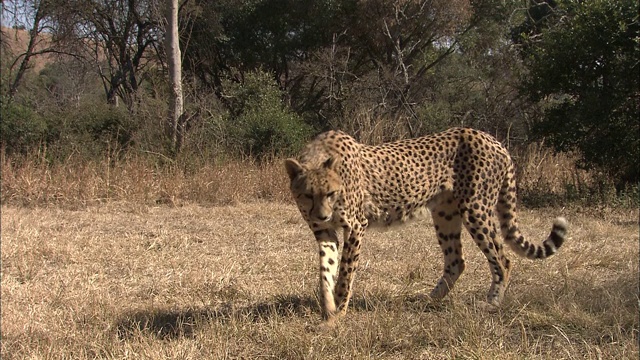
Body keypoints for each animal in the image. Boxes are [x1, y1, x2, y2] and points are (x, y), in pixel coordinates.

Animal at [284, 127, 564, 324]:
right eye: (307, 195)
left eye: (331, 193)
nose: (322, 215)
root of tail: (492, 139)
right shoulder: (325, 232)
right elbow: (326, 270)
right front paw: (328, 308)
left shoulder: (355, 226)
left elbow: (344, 273)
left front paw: (339, 312)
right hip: (445, 214)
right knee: (457, 261)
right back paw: (428, 300)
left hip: (476, 209)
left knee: (502, 258)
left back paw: (492, 303)